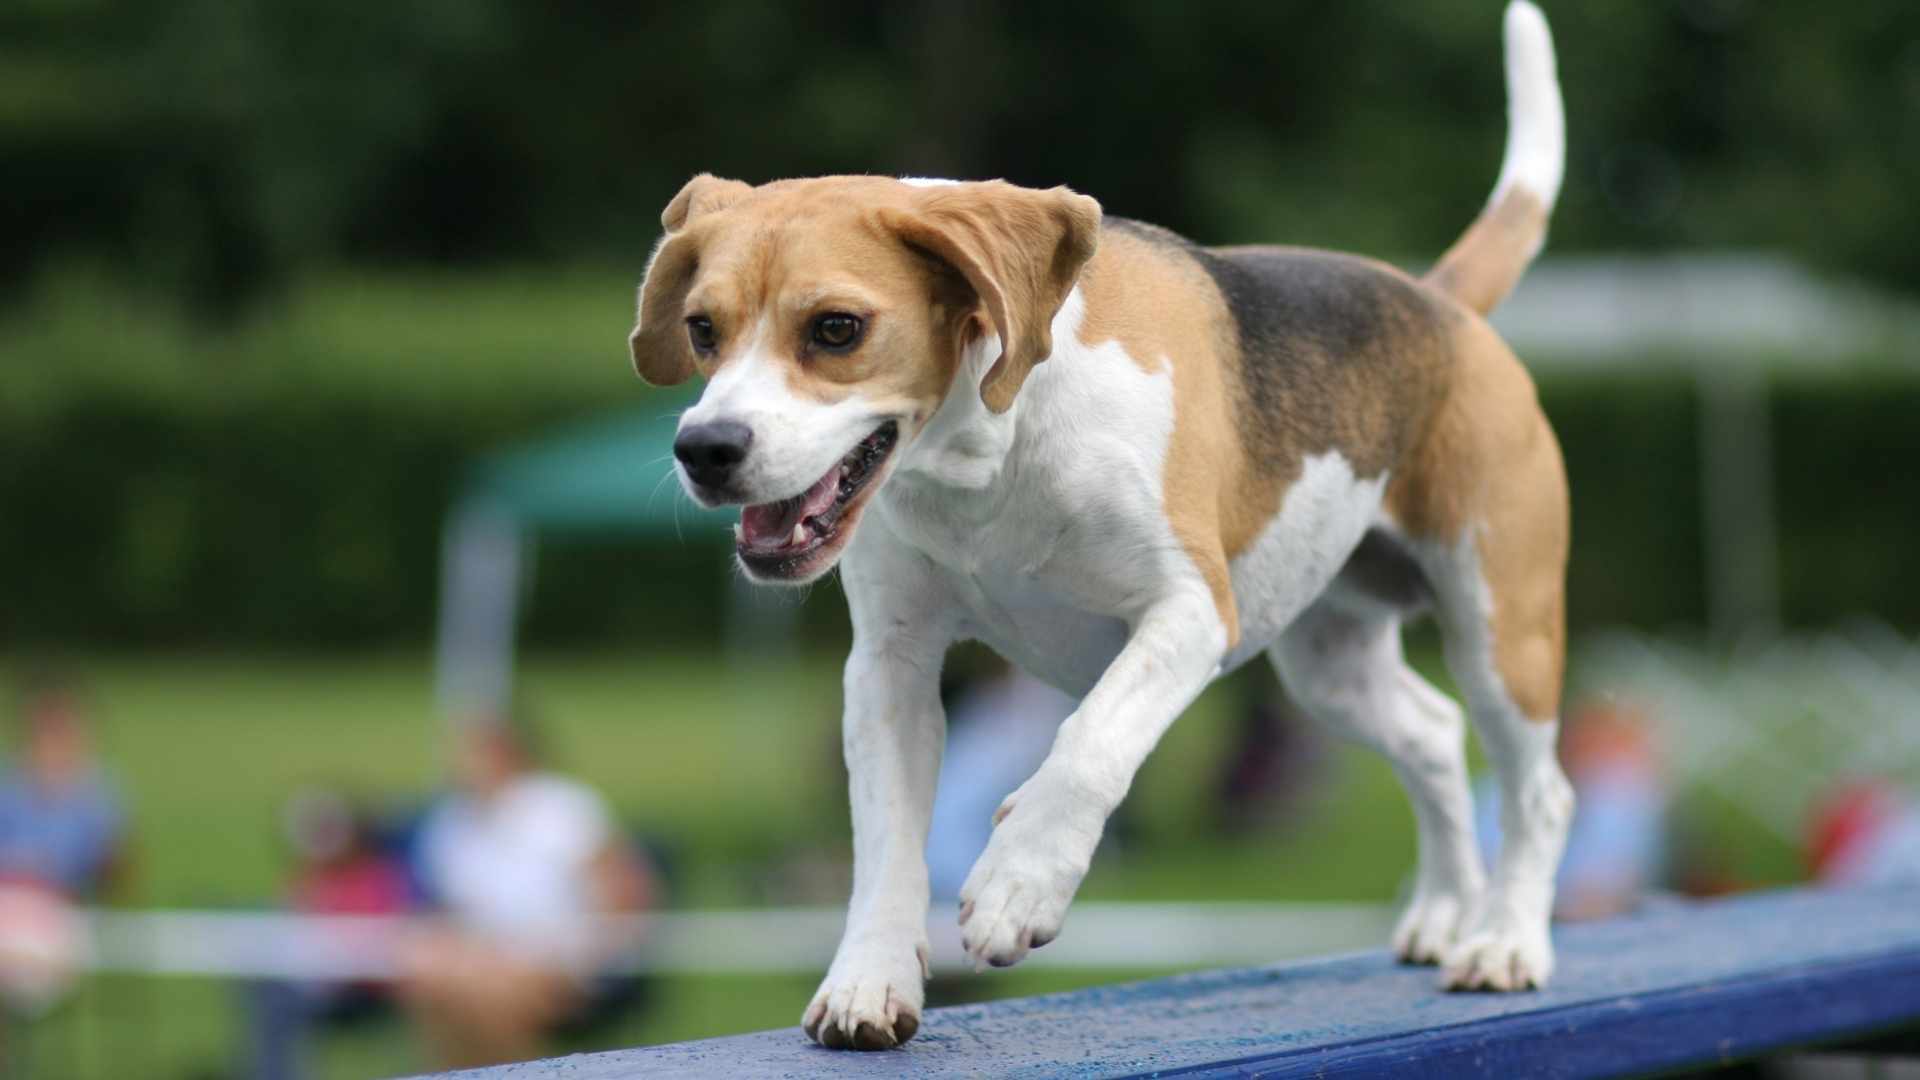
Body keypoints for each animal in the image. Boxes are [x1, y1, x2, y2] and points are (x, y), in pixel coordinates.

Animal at [637, 0, 1566, 1045]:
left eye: (837, 329)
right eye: (704, 330)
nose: (706, 448)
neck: (987, 453)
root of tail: (1438, 303)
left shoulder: (1188, 613)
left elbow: (1088, 744)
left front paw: (1017, 886)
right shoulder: (890, 667)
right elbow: (884, 843)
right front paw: (868, 980)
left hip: (1503, 631)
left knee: (1540, 789)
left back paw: (1506, 940)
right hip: (1332, 665)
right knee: (1435, 736)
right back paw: (1445, 910)